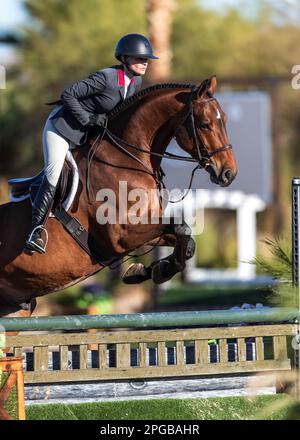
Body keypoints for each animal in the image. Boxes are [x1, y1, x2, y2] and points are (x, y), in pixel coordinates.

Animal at [0, 75, 237, 318]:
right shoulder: (120, 237)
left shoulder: (145, 231)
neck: (126, 160)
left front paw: (148, 270)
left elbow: (187, 241)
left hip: (15, 308)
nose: (229, 173)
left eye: (225, 120)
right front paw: (158, 271)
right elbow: (181, 227)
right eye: (205, 124)